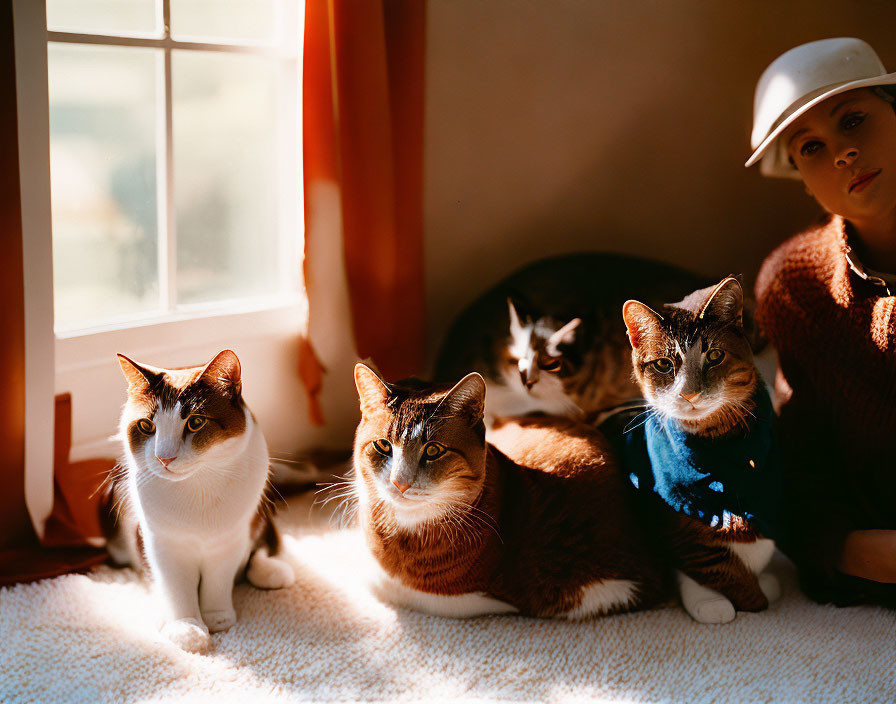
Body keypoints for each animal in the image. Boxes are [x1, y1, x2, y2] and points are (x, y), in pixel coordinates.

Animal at [105, 352, 294, 656]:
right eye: (146, 426)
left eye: (195, 422)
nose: (164, 458)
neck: (197, 485)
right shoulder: (163, 543)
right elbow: (176, 587)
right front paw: (187, 629)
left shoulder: (230, 540)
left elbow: (219, 579)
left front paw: (217, 618)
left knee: (264, 547)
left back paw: (274, 571)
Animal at [612, 278, 780, 624]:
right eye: (664, 364)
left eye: (714, 355)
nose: (689, 393)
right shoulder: (679, 529)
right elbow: (707, 561)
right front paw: (718, 600)